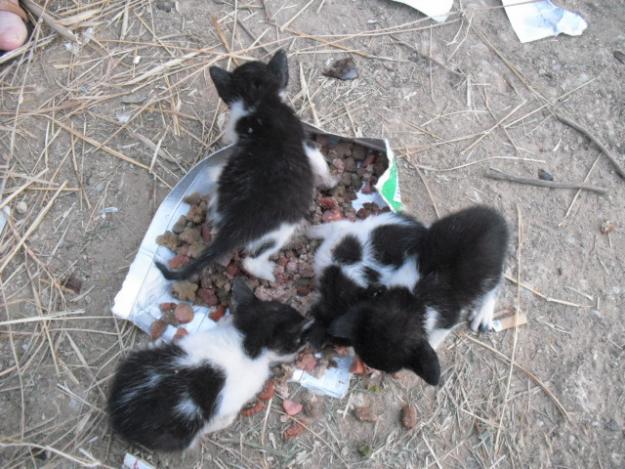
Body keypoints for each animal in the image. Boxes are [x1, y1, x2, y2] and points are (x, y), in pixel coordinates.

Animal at [154, 49, 334, 282]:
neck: (259, 100)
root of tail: (234, 226)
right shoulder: (305, 141)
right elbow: (319, 161)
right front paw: (330, 181)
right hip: (281, 228)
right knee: (251, 261)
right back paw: (268, 272)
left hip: (222, 203)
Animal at [306, 205, 508, 384]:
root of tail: (495, 217)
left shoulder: (448, 316)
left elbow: (436, 336)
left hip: (488, 271)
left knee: (495, 284)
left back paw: (483, 316)